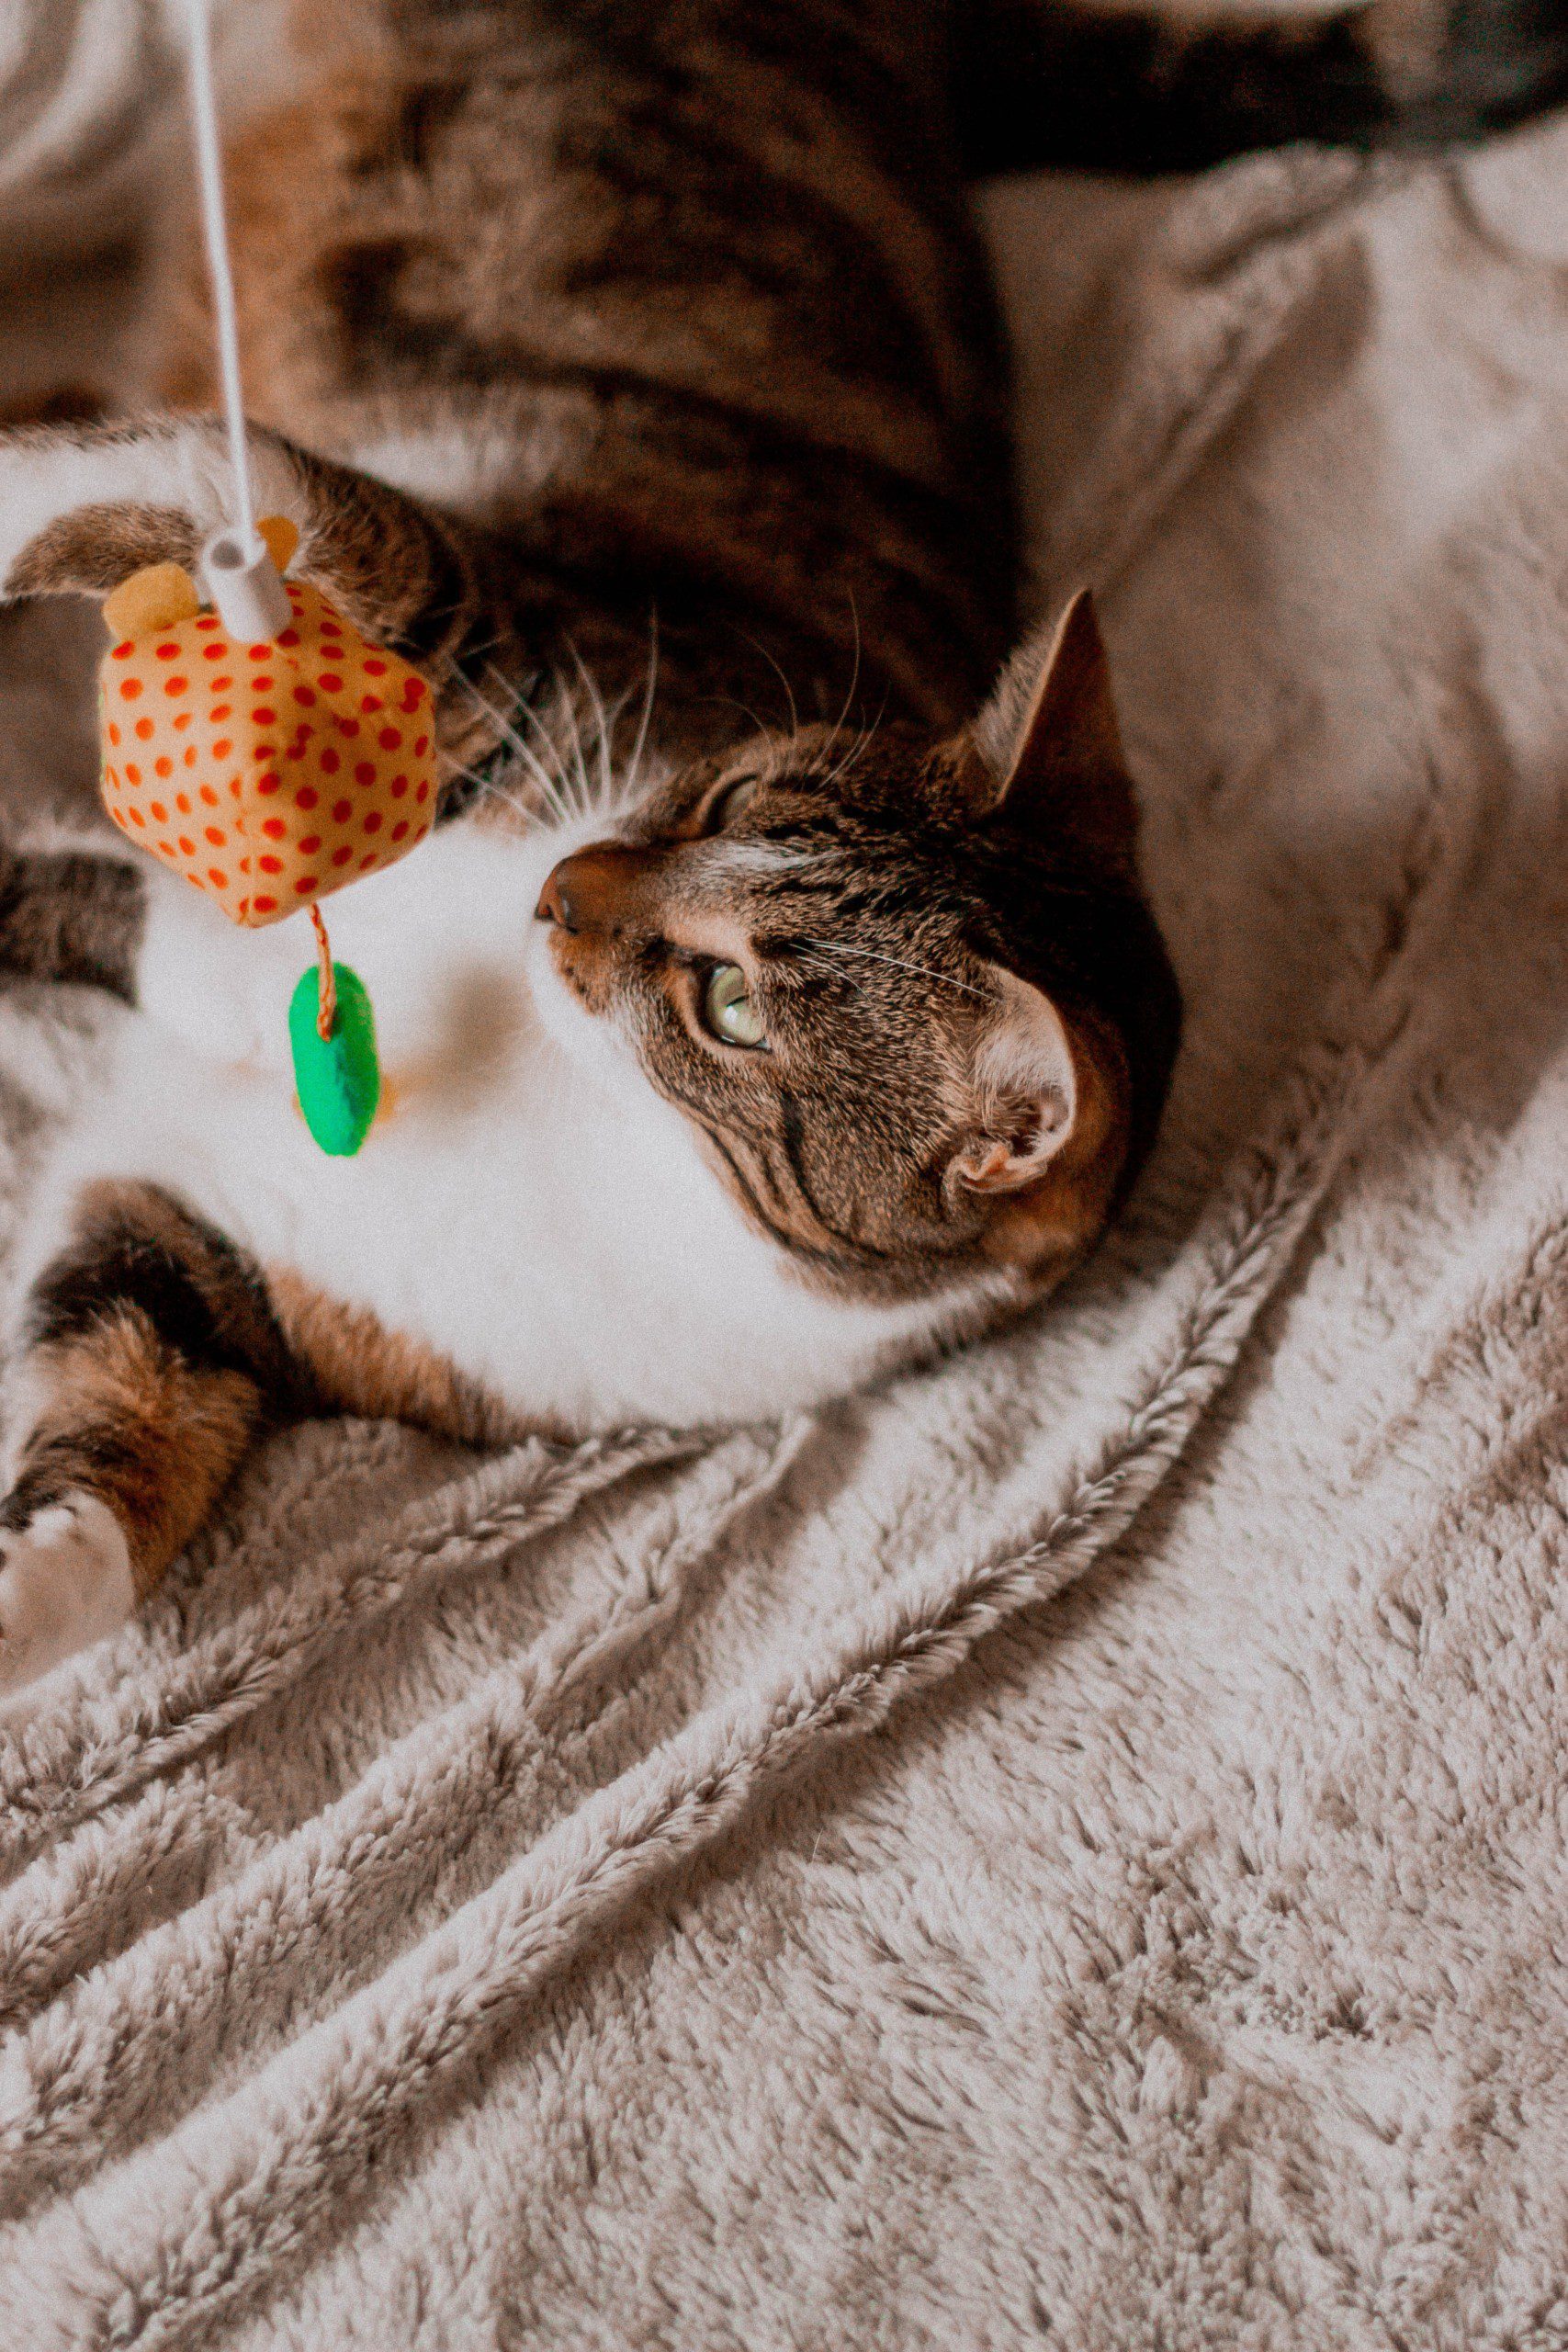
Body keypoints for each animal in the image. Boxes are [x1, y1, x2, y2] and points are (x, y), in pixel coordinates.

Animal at [0, 0, 1561, 1702]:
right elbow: (228, 496)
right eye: (713, 797)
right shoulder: (474, 639)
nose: (559, 888)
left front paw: (26, 1602)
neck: (566, 1092)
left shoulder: (234, 1253)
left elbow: (123, 1416)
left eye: (732, 1007)